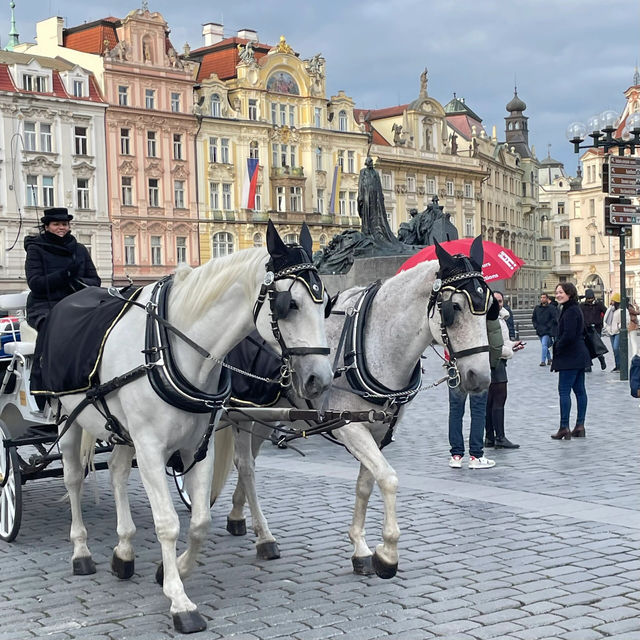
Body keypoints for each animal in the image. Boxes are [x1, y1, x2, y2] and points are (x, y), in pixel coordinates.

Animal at [53, 222, 336, 632]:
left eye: (324, 302)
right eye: (289, 304)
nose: (320, 379)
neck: (174, 350)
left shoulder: (197, 446)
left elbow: (200, 521)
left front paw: (171, 570)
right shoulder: (152, 450)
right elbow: (168, 523)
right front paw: (180, 601)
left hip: (121, 430)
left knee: (118, 472)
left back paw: (124, 551)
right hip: (69, 418)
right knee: (74, 479)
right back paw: (81, 552)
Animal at [212, 240, 492, 580]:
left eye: (488, 307)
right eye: (455, 308)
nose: (482, 377)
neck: (372, 345)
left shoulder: (378, 429)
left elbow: (365, 485)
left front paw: (361, 548)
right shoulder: (350, 427)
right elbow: (388, 478)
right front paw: (388, 554)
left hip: (264, 413)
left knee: (248, 461)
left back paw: (238, 516)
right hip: (240, 411)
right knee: (246, 466)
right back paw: (265, 536)